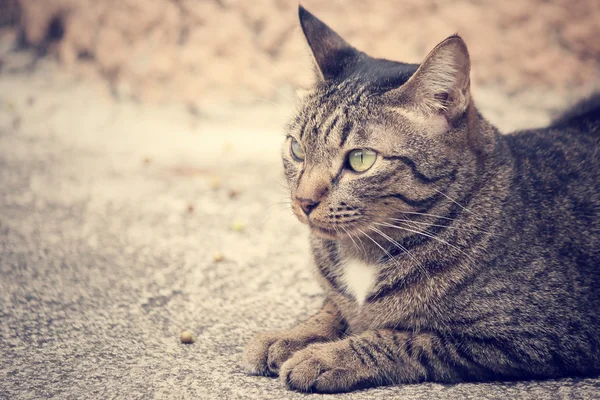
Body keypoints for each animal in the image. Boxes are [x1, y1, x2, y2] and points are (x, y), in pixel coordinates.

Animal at [241, 4, 600, 392]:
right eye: (297, 149)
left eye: (360, 159)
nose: (304, 201)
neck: (364, 252)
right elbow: (332, 308)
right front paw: (291, 335)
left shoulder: (532, 335)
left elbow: (401, 338)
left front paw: (326, 356)